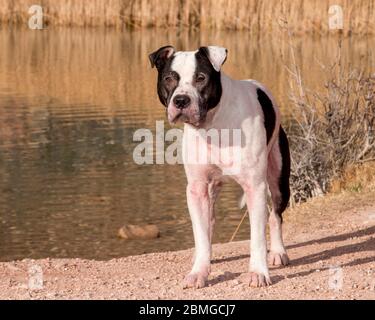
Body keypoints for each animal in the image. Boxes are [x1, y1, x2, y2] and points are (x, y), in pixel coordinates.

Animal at [149, 45, 290, 288]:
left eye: (201, 78)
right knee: (210, 222)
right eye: (169, 78)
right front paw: (199, 271)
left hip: (279, 181)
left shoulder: (255, 187)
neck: (213, 124)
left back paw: (278, 253)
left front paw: (258, 272)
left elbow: (257, 237)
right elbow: (201, 233)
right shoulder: (197, 189)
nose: (181, 100)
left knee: (276, 216)